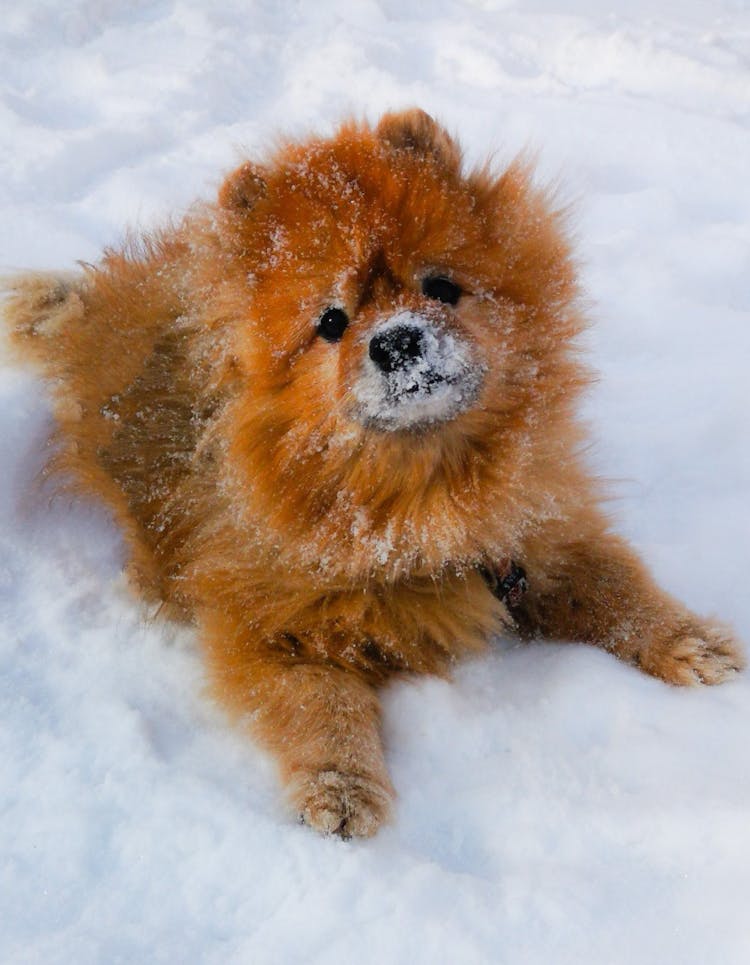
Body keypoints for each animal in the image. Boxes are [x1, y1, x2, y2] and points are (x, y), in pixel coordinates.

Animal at [4, 111, 748, 836]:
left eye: (440, 286)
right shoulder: (271, 623)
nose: (396, 339)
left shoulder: (537, 537)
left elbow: (618, 589)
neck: (419, 495)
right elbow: (321, 705)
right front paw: (342, 787)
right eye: (331, 321)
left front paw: (691, 642)